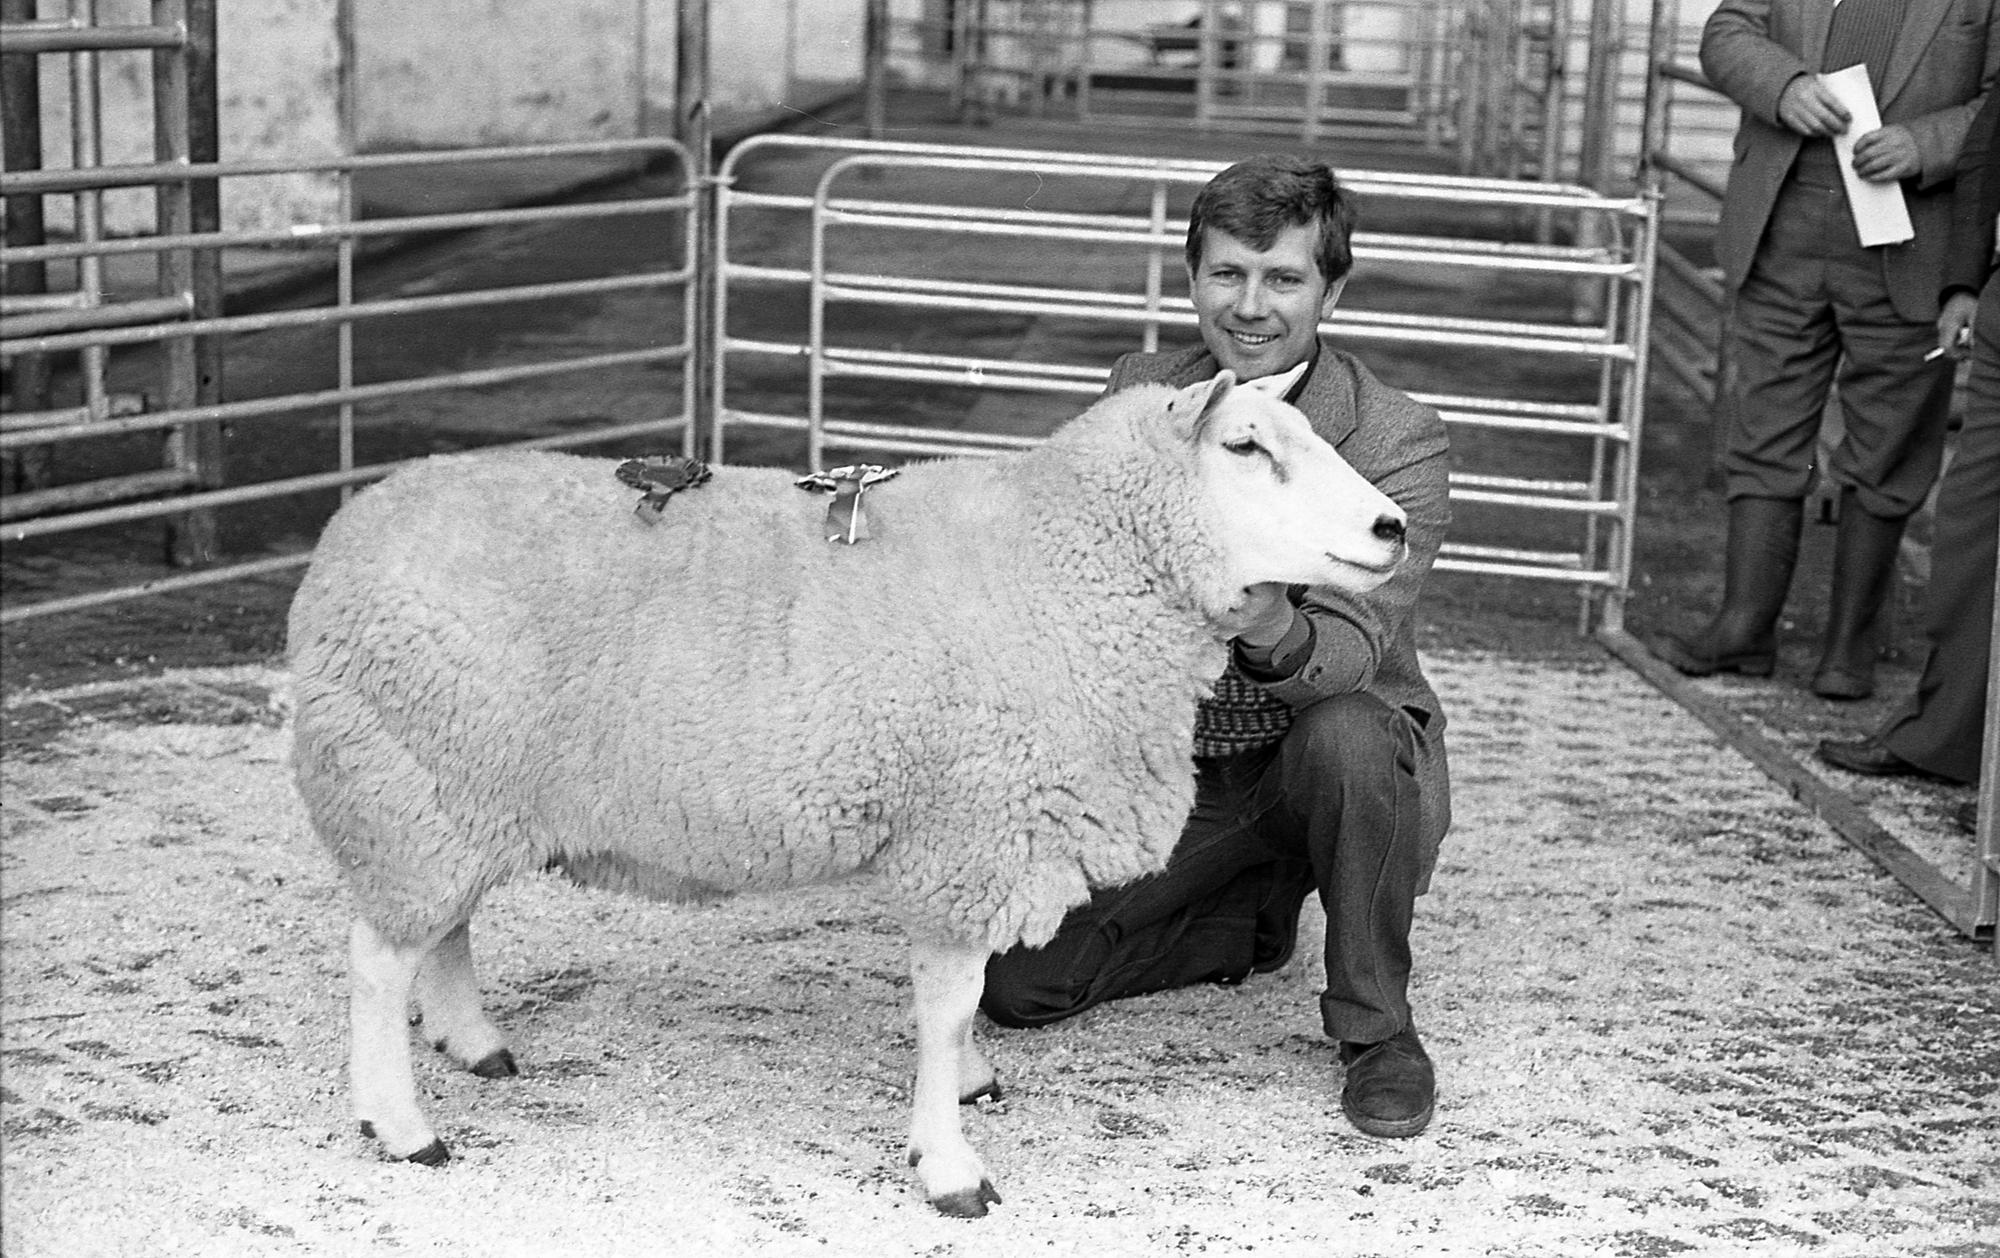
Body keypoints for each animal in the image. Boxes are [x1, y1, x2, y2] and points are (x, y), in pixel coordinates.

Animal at [287, 371, 1409, 1217]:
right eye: (1245, 448)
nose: (1393, 525)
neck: (1064, 565)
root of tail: (346, 535)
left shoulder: (972, 833)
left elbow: (959, 1007)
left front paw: (966, 1090)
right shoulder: (969, 827)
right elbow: (948, 1005)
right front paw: (949, 1165)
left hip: (446, 788)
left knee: (443, 927)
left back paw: (472, 1041)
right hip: (412, 778)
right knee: (377, 959)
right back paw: (403, 1127)